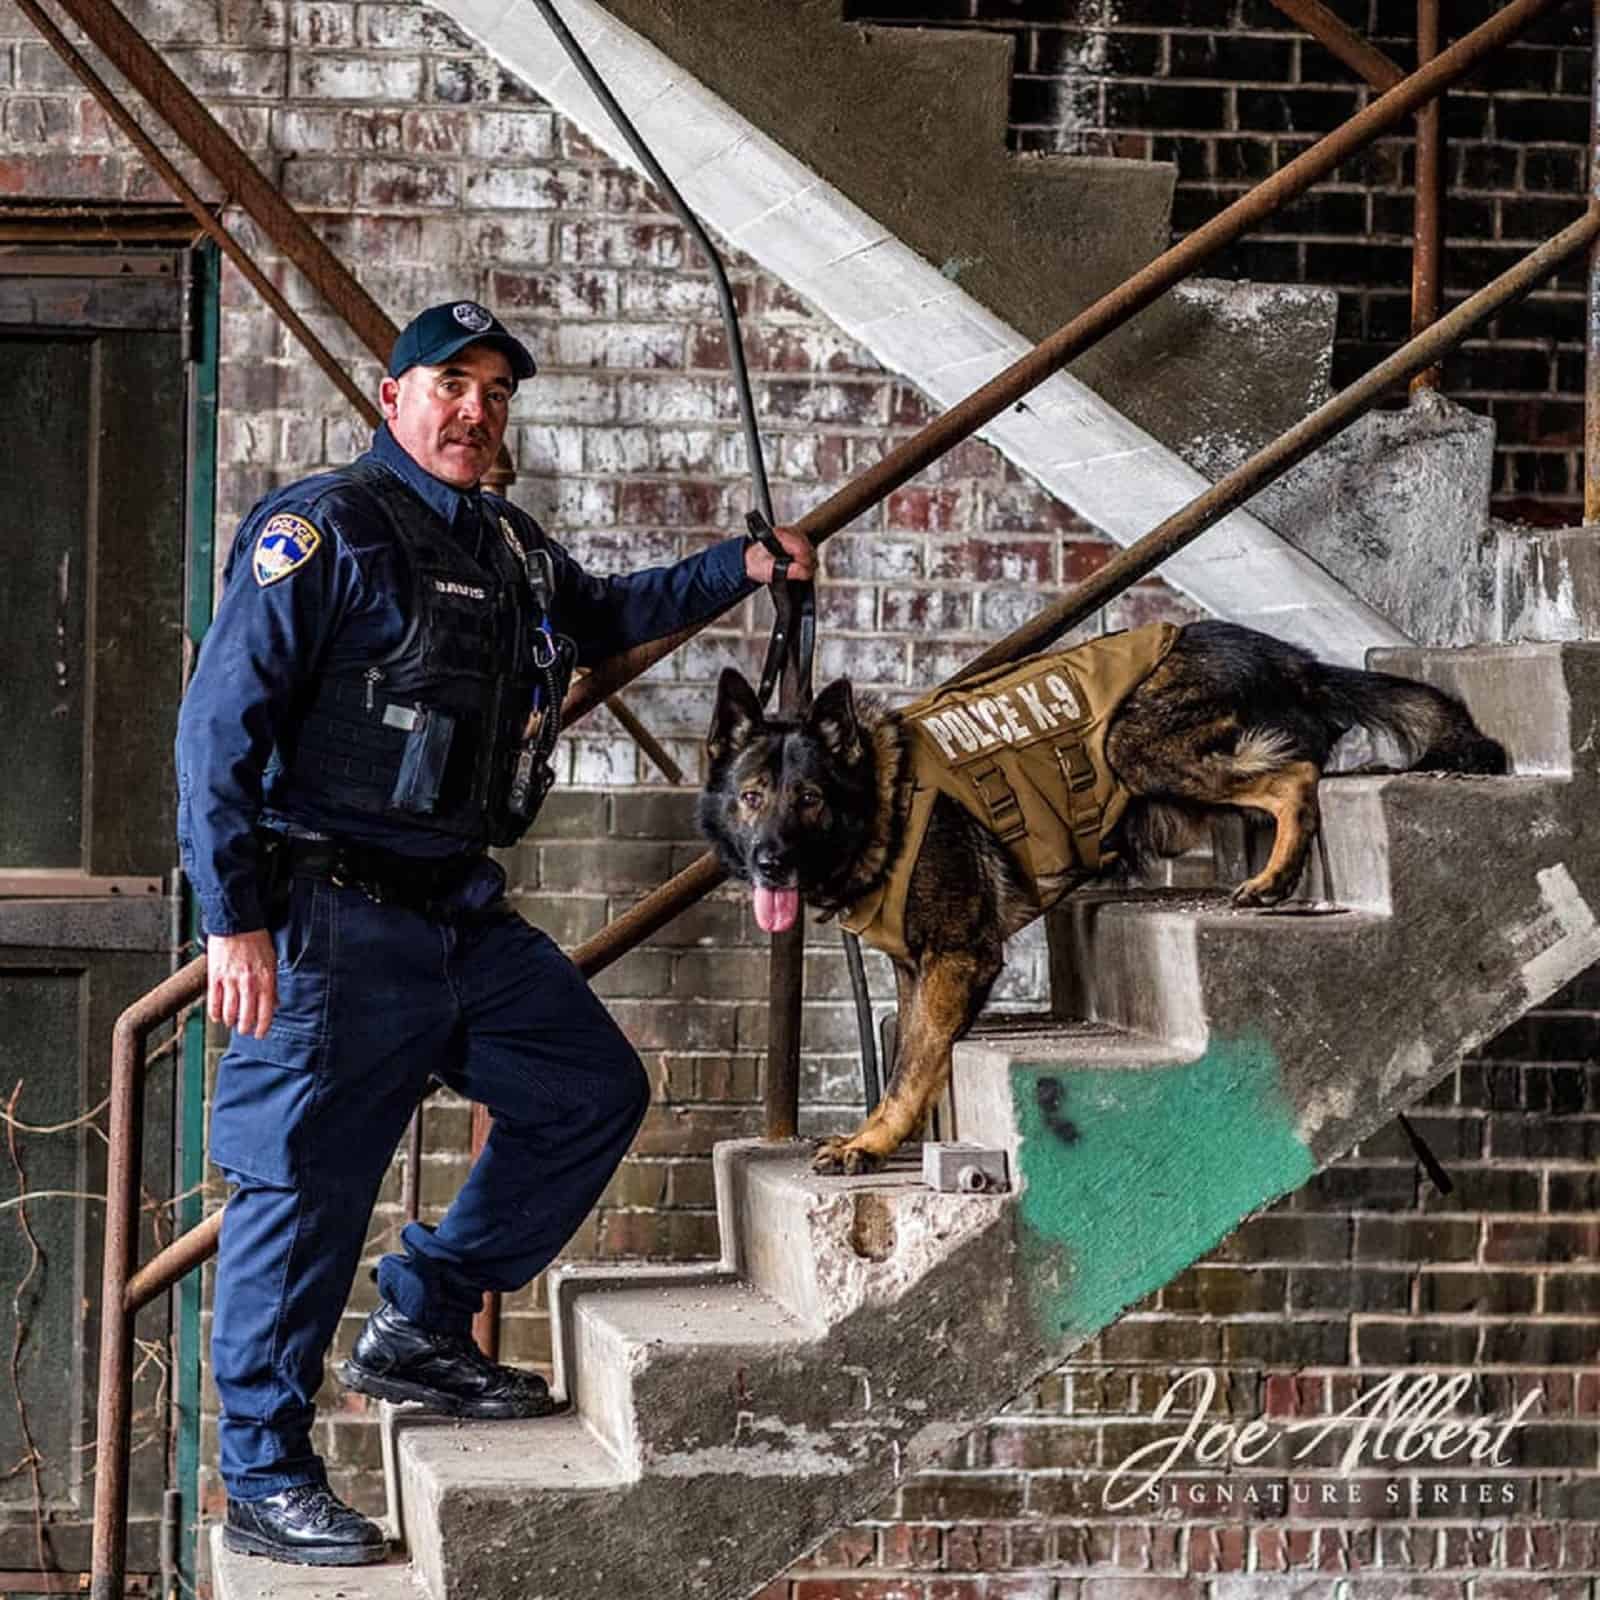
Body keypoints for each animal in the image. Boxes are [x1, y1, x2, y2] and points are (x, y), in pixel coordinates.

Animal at [697, 620, 1497, 1177]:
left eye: (809, 799)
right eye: (751, 797)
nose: (770, 864)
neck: (882, 803)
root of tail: (1286, 657)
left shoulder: (957, 958)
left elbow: (912, 1065)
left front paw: (872, 1145)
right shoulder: (918, 969)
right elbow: (916, 1063)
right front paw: (894, 1137)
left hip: (1133, 745)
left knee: (1295, 773)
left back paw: (1273, 878)